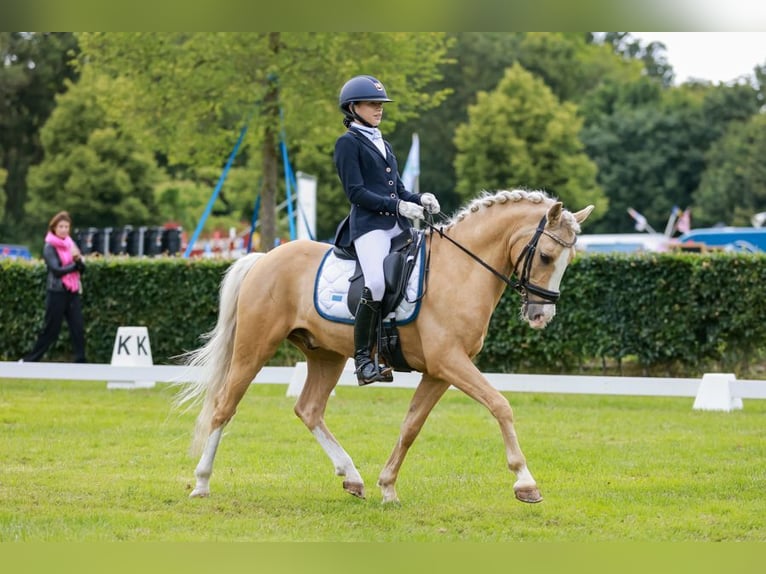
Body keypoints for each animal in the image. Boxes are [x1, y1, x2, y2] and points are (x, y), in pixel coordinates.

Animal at [178, 189, 592, 504]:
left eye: (569, 259)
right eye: (546, 256)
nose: (541, 315)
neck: (460, 270)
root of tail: (265, 257)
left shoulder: (440, 371)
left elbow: (411, 425)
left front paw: (388, 486)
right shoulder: (450, 361)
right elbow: (500, 405)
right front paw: (525, 481)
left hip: (326, 355)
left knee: (308, 409)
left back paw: (352, 476)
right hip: (255, 347)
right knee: (224, 406)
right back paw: (201, 482)